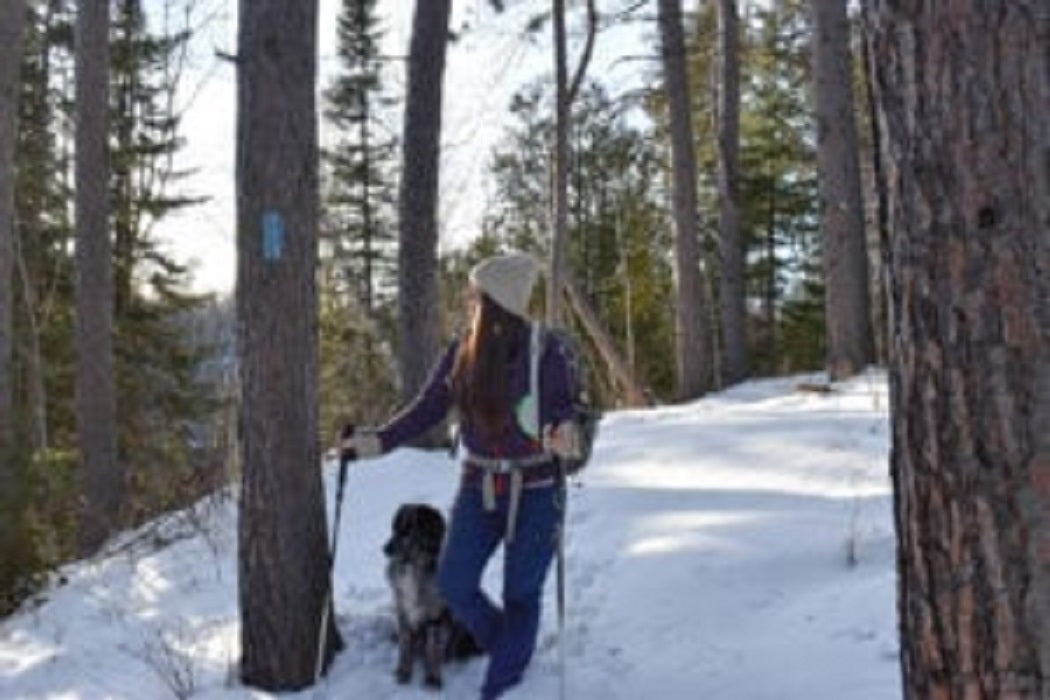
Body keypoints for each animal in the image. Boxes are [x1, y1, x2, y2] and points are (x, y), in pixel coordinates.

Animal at [384, 503, 480, 688]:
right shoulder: (403, 612)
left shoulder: (437, 617)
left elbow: (433, 649)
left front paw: (433, 678)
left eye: (408, 529)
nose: (385, 549)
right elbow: (405, 647)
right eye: (394, 528)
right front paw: (403, 672)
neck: (413, 569)